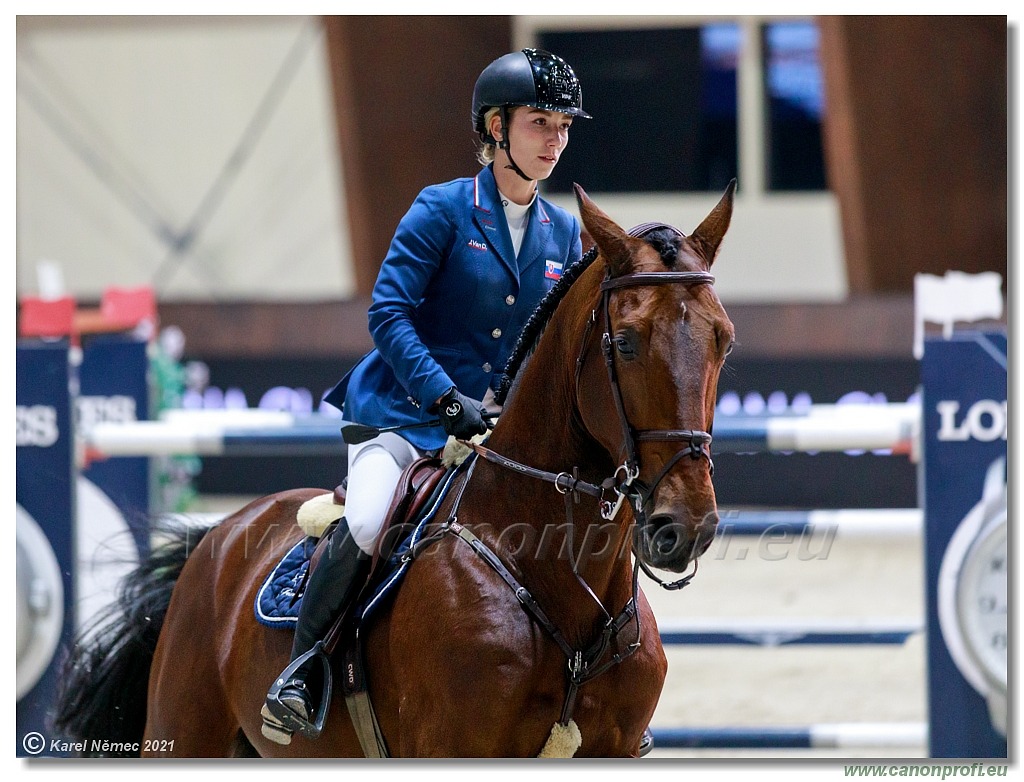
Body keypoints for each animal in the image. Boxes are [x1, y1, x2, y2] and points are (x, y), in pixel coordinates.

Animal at [54, 183, 737, 757]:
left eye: (723, 339)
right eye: (625, 342)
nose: (685, 527)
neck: (555, 573)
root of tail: (217, 536)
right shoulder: (453, 750)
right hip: (182, 733)